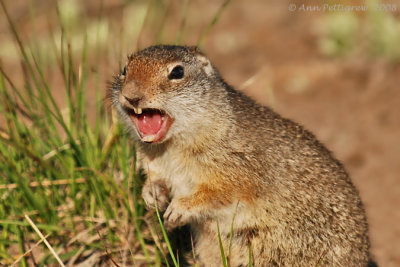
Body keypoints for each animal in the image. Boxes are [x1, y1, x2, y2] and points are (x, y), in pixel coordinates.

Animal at [109, 45, 376, 266]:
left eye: (177, 72)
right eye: (125, 69)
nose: (131, 95)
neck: (171, 147)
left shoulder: (238, 169)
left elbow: (219, 193)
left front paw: (178, 209)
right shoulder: (156, 166)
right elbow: (156, 180)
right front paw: (152, 196)